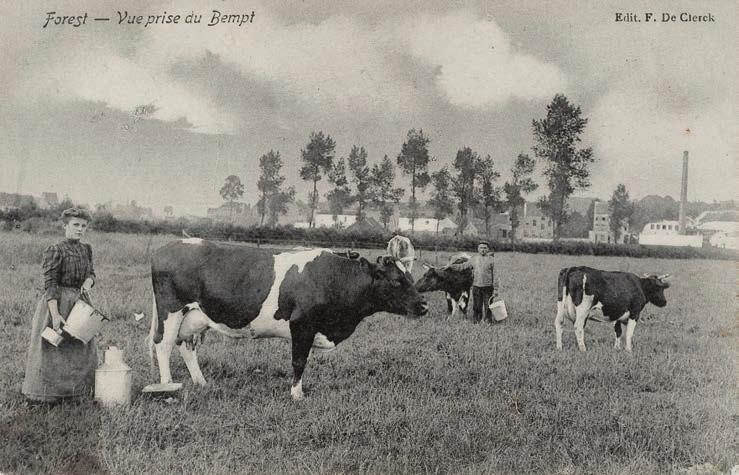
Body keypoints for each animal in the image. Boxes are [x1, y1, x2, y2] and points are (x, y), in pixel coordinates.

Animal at [148, 240, 428, 400]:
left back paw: (202, 383)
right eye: (396, 280)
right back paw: (167, 387)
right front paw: (296, 395)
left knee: (186, 347)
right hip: (171, 311)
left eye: (410, 277)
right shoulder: (302, 325)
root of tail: (169, 246)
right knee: (163, 345)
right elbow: (299, 362)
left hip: (194, 317)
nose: (424, 305)